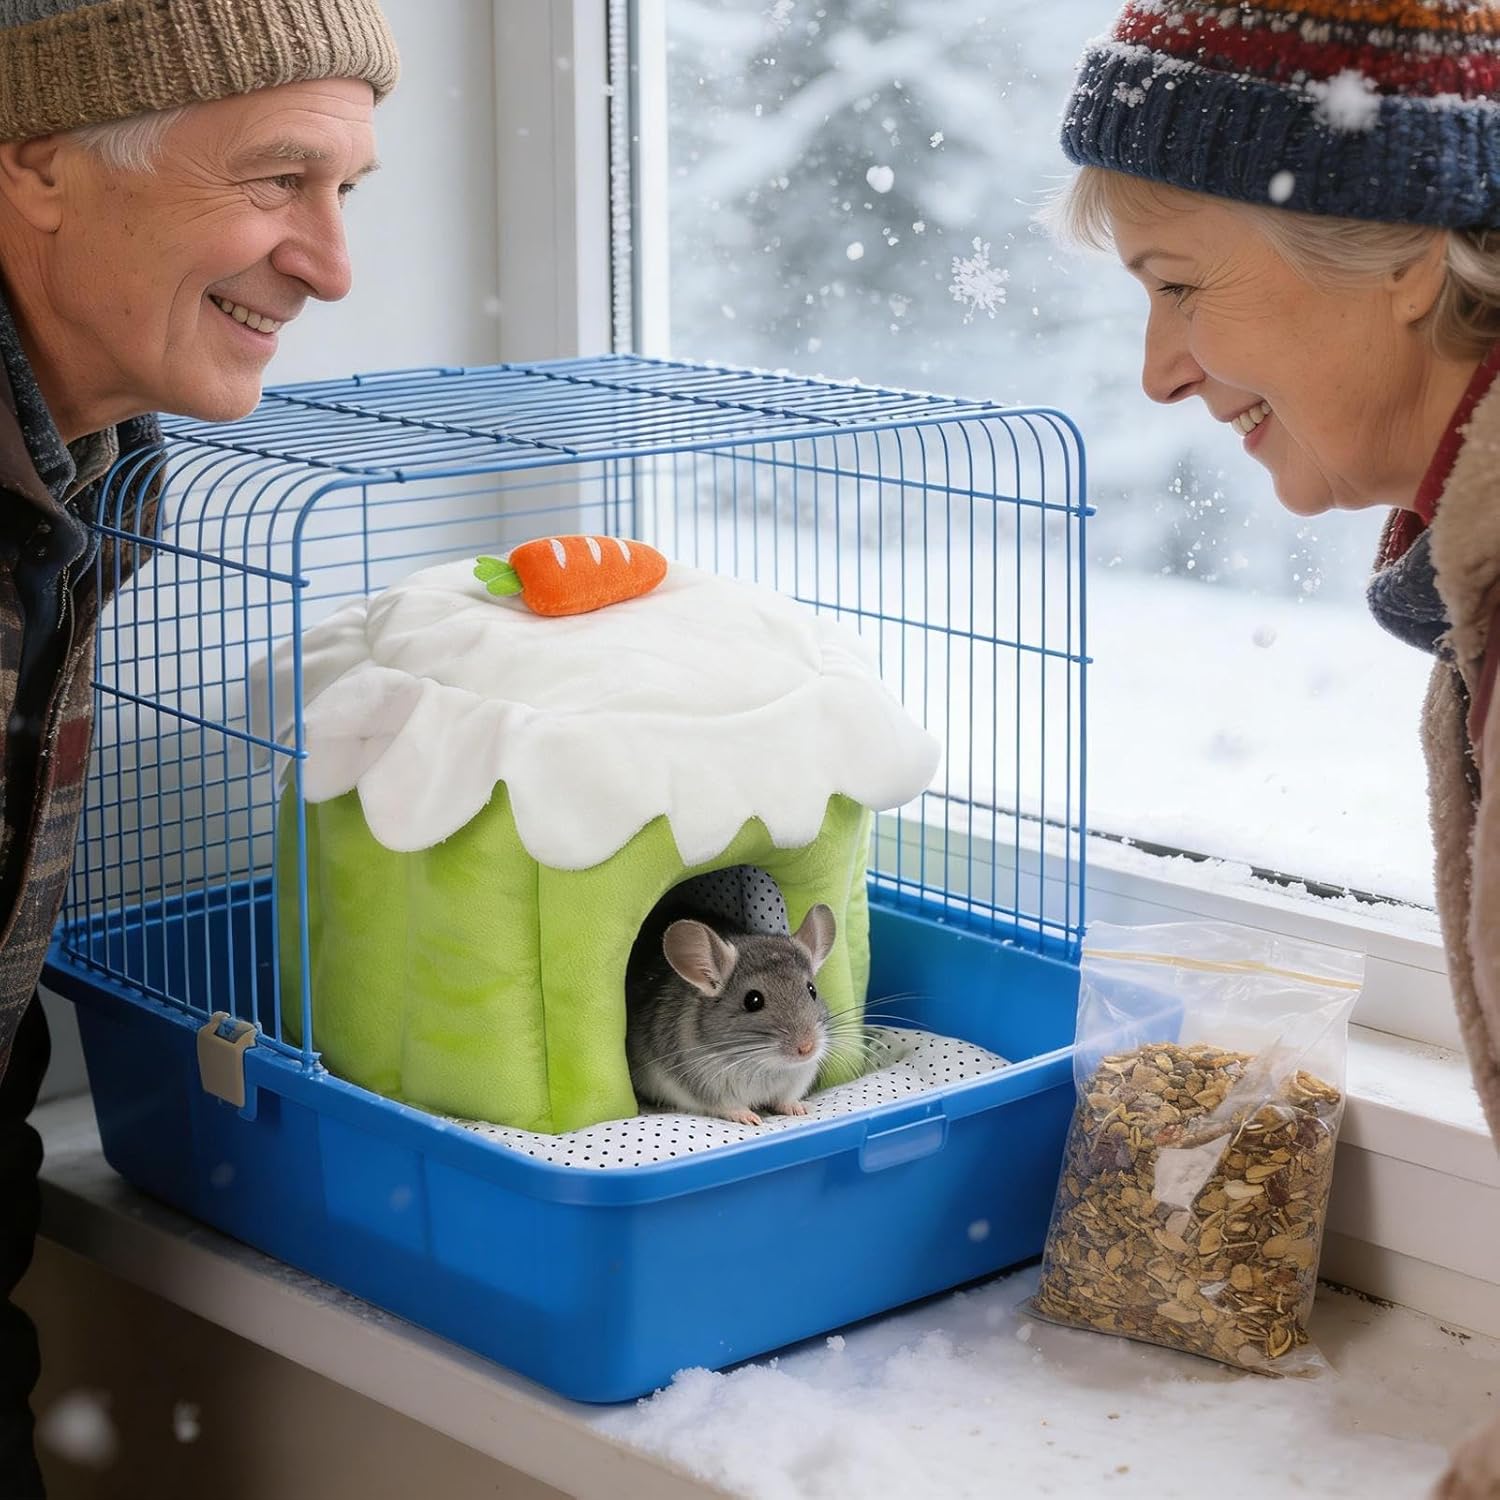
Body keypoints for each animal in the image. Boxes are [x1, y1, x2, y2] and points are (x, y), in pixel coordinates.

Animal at [624, 902, 837, 1126]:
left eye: (812, 990)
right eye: (753, 1000)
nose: (806, 1048)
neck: (764, 1063)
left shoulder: (799, 1078)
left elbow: (785, 1101)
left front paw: (799, 1109)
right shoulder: (709, 1088)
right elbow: (730, 1107)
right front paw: (751, 1118)